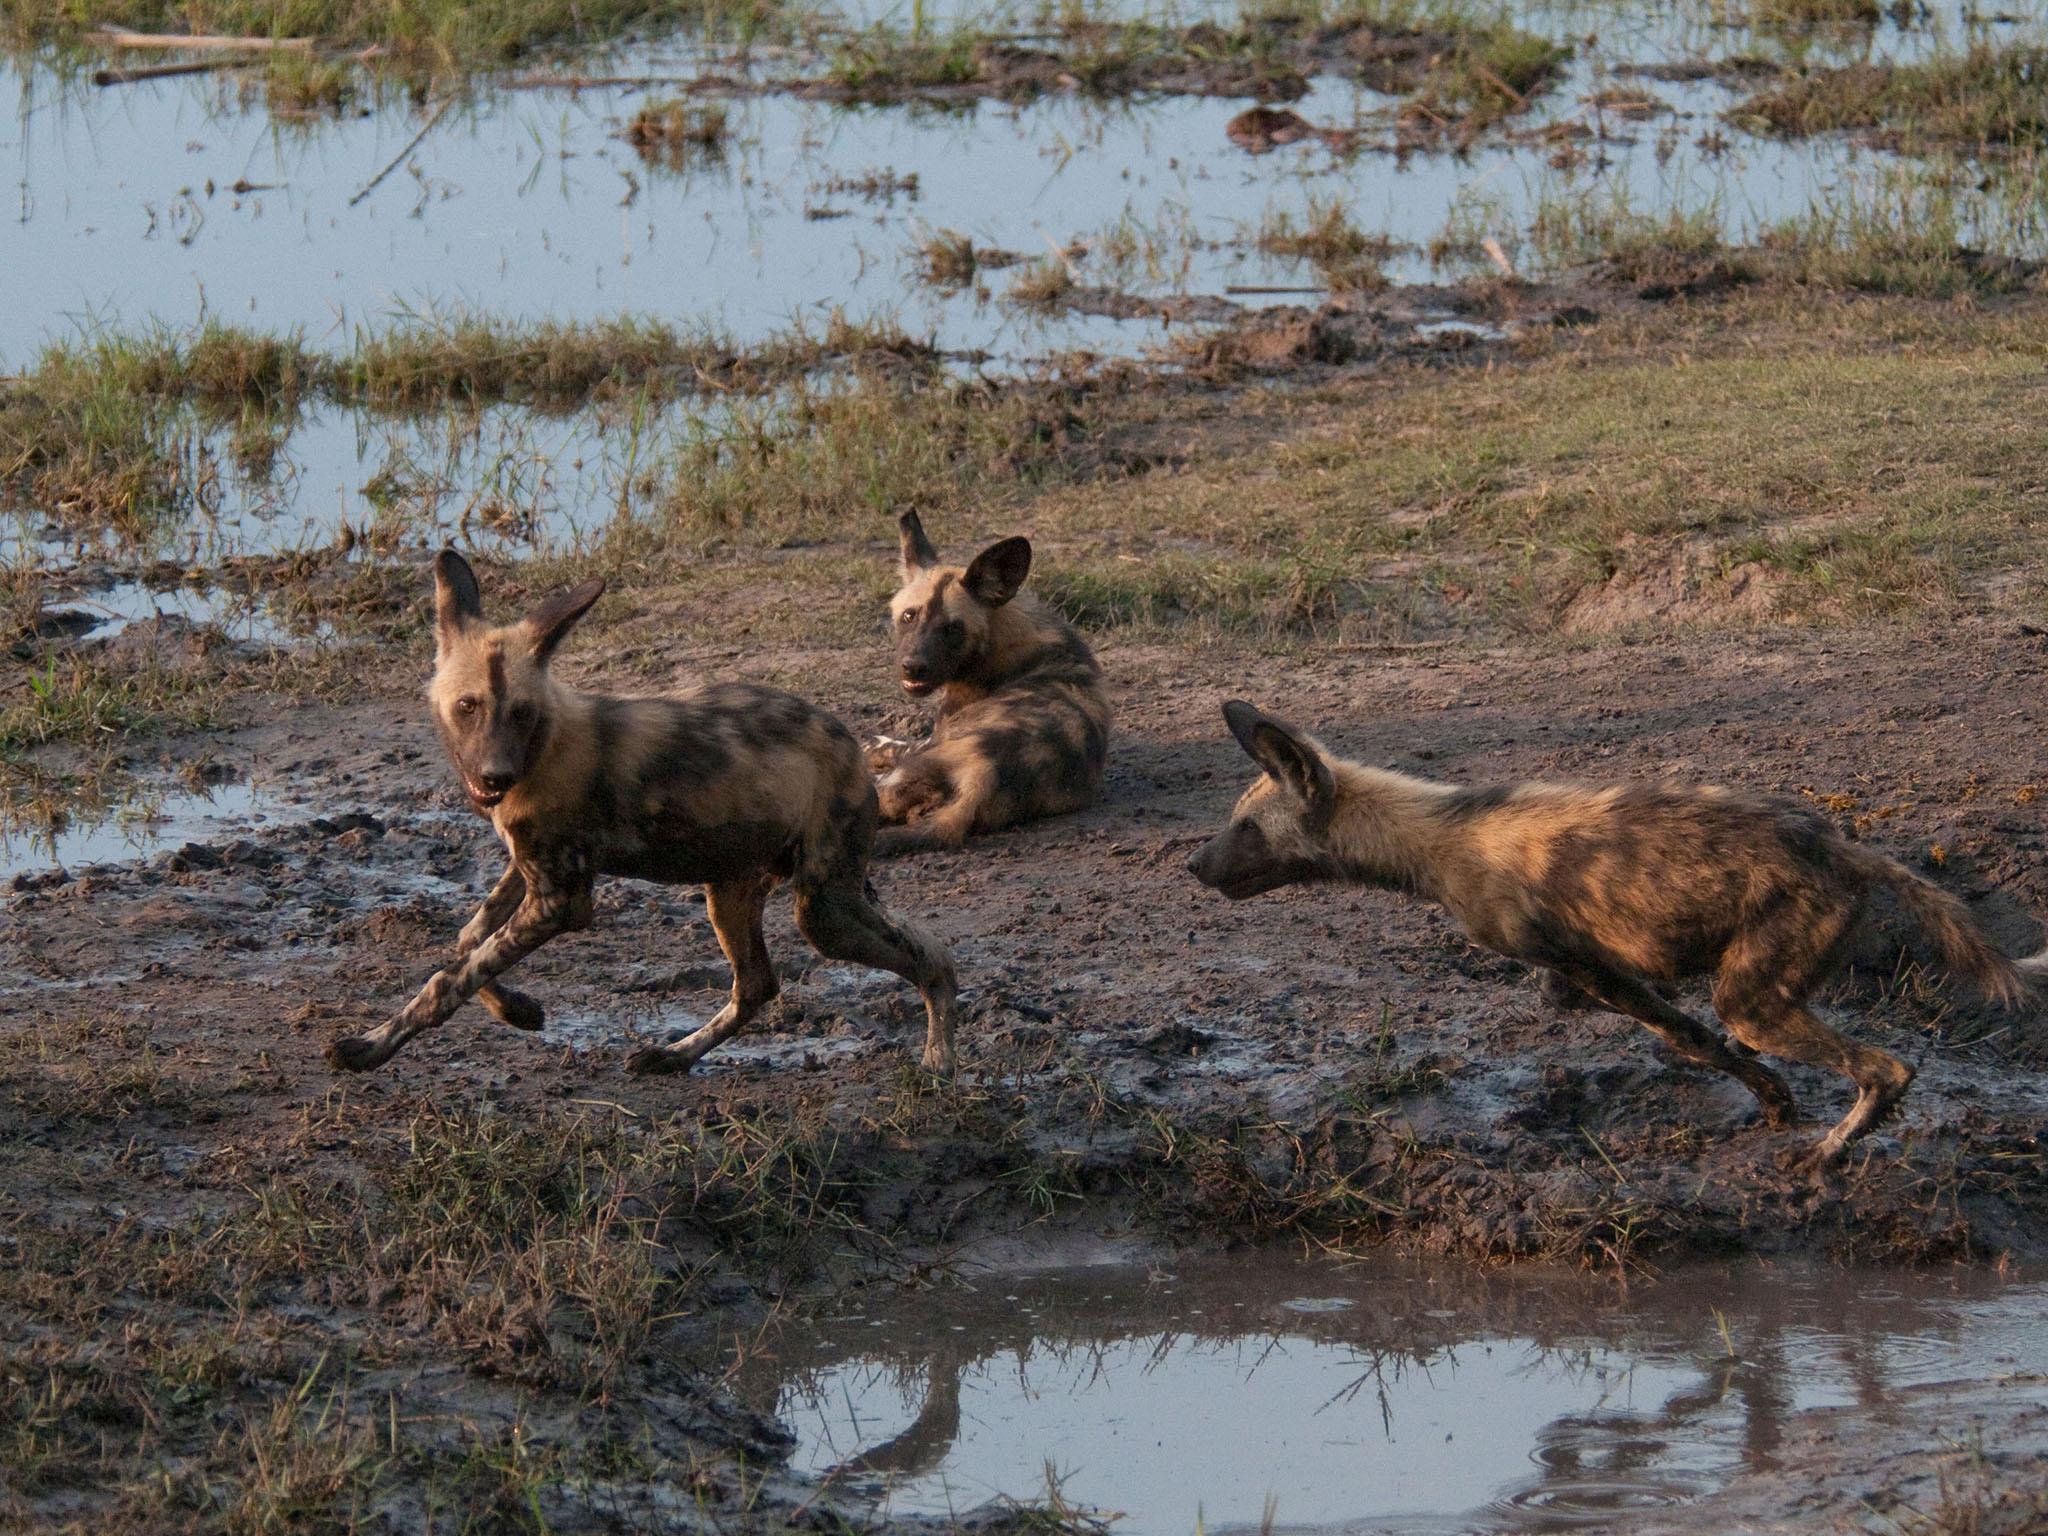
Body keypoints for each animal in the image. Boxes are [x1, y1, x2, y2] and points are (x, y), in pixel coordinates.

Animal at [323, 552, 962, 1081]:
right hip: (731, 893)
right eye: (467, 707)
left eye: (522, 712)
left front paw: (371, 1046)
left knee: (934, 956)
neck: (542, 749)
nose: (494, 777)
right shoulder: (525, 873)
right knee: (758, 985)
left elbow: (451, 978)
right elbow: (467, 941)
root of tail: (851, 746)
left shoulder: (561, 903)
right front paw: (516, 1009)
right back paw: (672, 1056)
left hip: (824, 912)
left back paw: (939, 1061)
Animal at [868, 514, 1114, 856]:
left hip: (901, 775)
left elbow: (892, 744)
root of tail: (984, 776)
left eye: (952, 629)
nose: (914, 666)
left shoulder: (930, 739)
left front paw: (873, 744)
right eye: (909, 616)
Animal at [1187, 704, 2048, 1163]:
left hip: (1755, 1000)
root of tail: (1838, 844)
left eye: (1246, 829)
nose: (1192, 864)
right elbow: (1662, 1031)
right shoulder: (1580, 972)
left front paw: (1776, 1105)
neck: (1430, 837)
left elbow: (1695, 1041)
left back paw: (1825, 1159)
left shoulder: (1594, 969)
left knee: (1882, 1067)